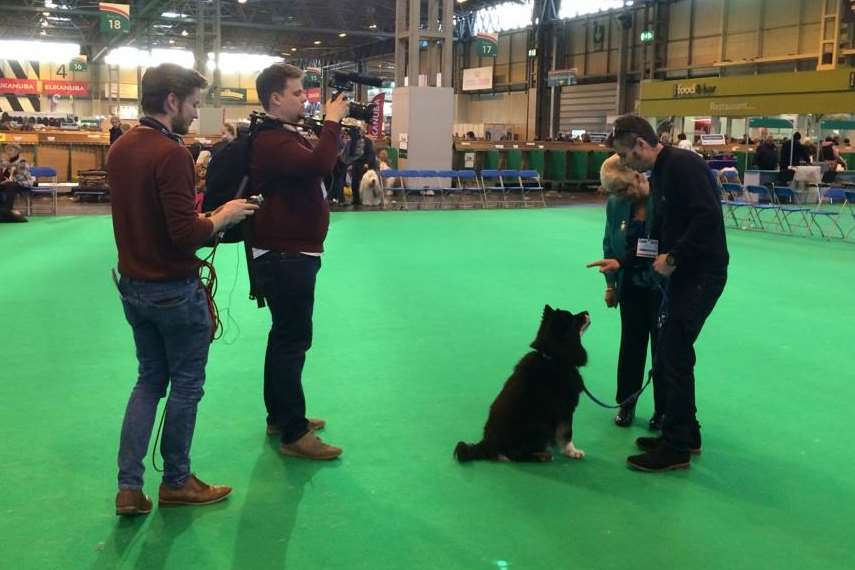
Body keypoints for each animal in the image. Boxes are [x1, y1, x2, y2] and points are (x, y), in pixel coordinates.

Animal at [458, 304, 592, 460]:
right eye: (574, 319)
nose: (587, 312)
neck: (554, 357)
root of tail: (488, 444)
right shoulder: (565, 408)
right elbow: (567, 433)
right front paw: (573, 451)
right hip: (539, 425)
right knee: (515, 455)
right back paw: (542, 455)